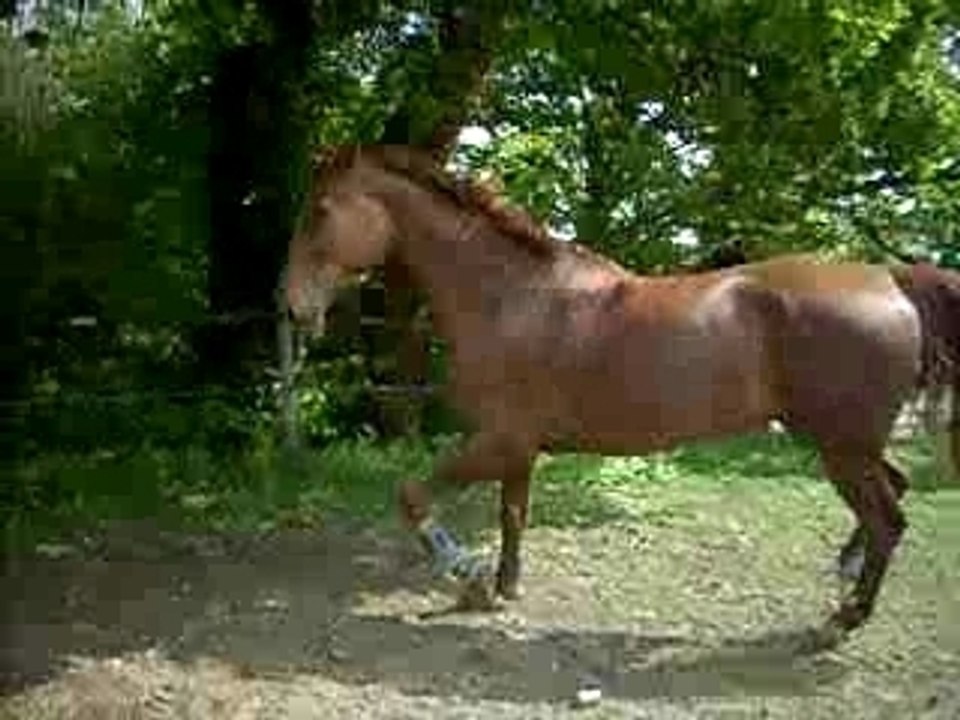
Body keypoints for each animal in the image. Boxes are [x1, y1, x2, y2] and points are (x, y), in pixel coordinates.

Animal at [285, 143, 960, 639]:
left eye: (319, 210)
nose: (291, 308)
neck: (512, 298)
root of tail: (892, 280)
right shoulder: (519, 446)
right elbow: (512, 514)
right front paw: (504, 586)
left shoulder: (495, 439)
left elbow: (413, 496)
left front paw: (467, 576)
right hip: (844, 441)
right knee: (893, 493)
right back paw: (845, 575)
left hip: (840, 445)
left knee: (888, 517)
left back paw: (846, 616)